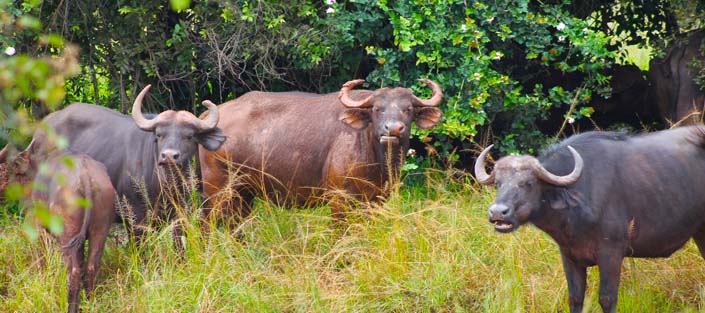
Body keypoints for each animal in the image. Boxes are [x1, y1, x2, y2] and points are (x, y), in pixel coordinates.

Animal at [26, 84, 226, 244]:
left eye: (189, 136)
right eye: (159, 135)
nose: (169, 156)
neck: (164, 184)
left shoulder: (179, 212)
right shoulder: (135, 216)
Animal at [30, 153, 115, 312]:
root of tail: (85, 175)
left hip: (67, 235)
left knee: (73, 273)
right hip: (99, 231)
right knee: (91, 267)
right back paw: (90, 304)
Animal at [198, 78, 440, 219]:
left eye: (408, 109)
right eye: (377, 109)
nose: (393, 129)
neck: (377, 160)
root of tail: (208, 117)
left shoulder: (376, 200)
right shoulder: (339, 200)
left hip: (244, 192)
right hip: (217, 189)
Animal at [472, 126, 705, 312]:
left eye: (528, 183)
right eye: (498, 183)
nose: (497, 212)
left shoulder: (612, 254)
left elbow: (607, 299)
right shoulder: (569, 256)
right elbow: (575, 298)